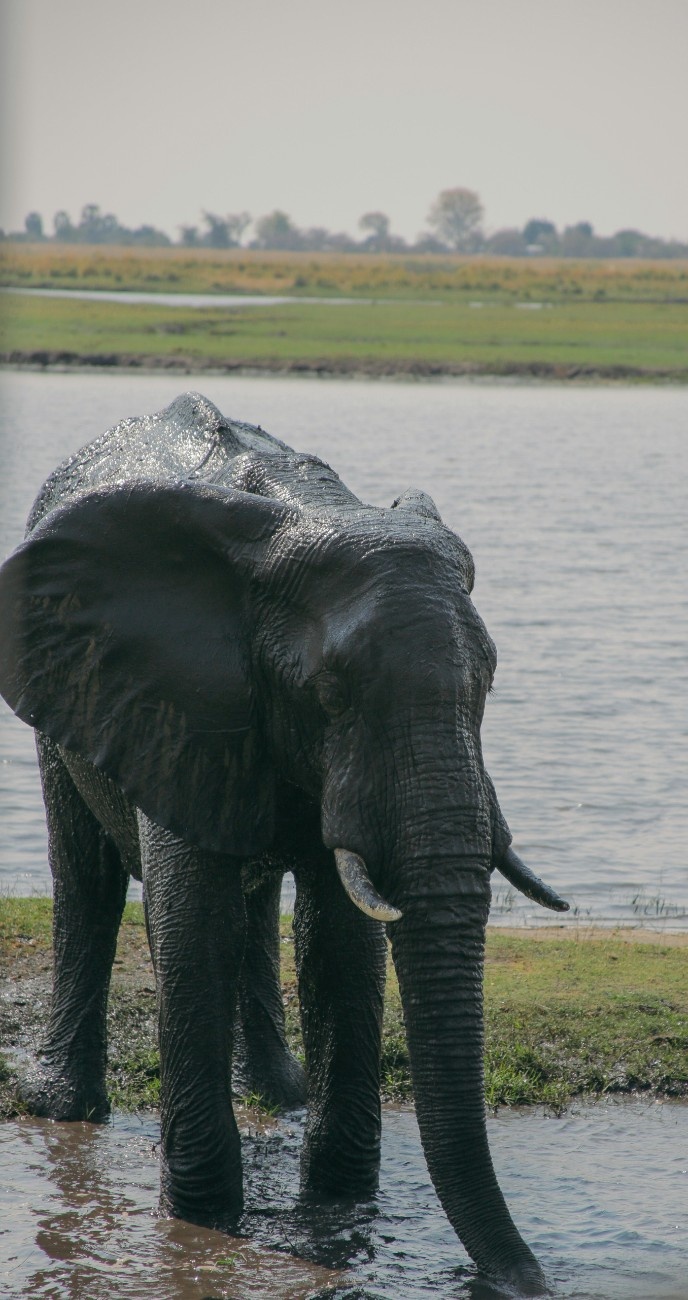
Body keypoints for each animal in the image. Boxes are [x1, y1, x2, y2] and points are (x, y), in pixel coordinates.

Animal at [0, 390, 569, 1294]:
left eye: (487, 684)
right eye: (329, 692)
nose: (531, 1282)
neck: (313, 514)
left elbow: (341, 937)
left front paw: (336, 1212)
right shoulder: (177, 696)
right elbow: (190, 921)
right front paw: (205, 1222)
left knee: (253, 897)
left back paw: (280, 1094)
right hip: (61, 685)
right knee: (86, 876)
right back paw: (65, 1108)